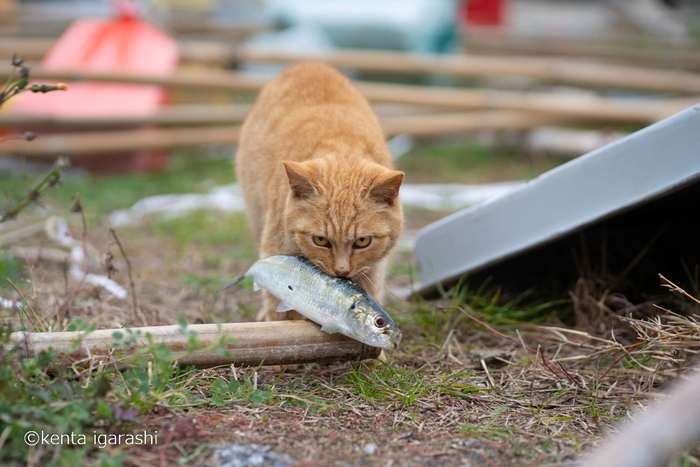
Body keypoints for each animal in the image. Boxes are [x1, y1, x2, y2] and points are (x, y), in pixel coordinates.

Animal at [235, 63, 402, 322]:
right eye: (320, 240)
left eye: (362, 241)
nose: (341, 271)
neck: (341, 147)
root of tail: (308, 64)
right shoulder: (276, 252)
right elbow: (279, 310)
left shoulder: (372, 271)